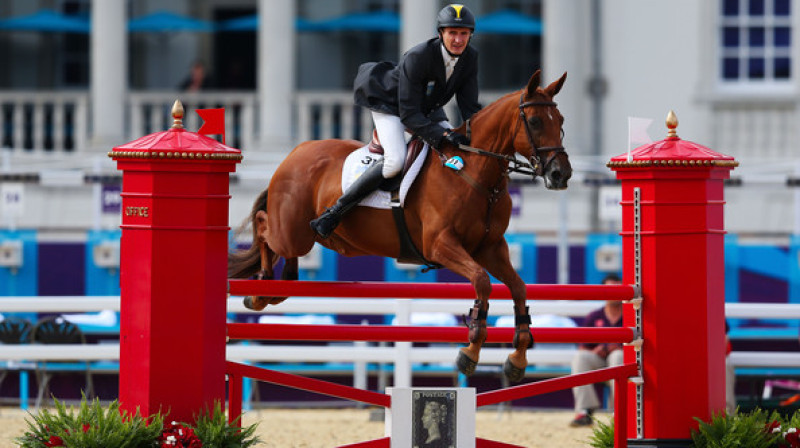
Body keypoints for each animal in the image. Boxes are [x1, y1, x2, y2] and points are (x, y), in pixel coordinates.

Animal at [228, 70, 572, 382]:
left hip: (306, 236)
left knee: (285, 251)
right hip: (292, 232)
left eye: (561, 122)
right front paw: (470, 350)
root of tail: (294, 153)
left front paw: (518, 356)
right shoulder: (441, 245)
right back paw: (261, 285)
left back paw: (277, 286)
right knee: (263, 226)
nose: (561, 174)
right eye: (536, 122)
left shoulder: (490, 248)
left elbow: (518, 287)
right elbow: (482, 282)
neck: (476, 173)